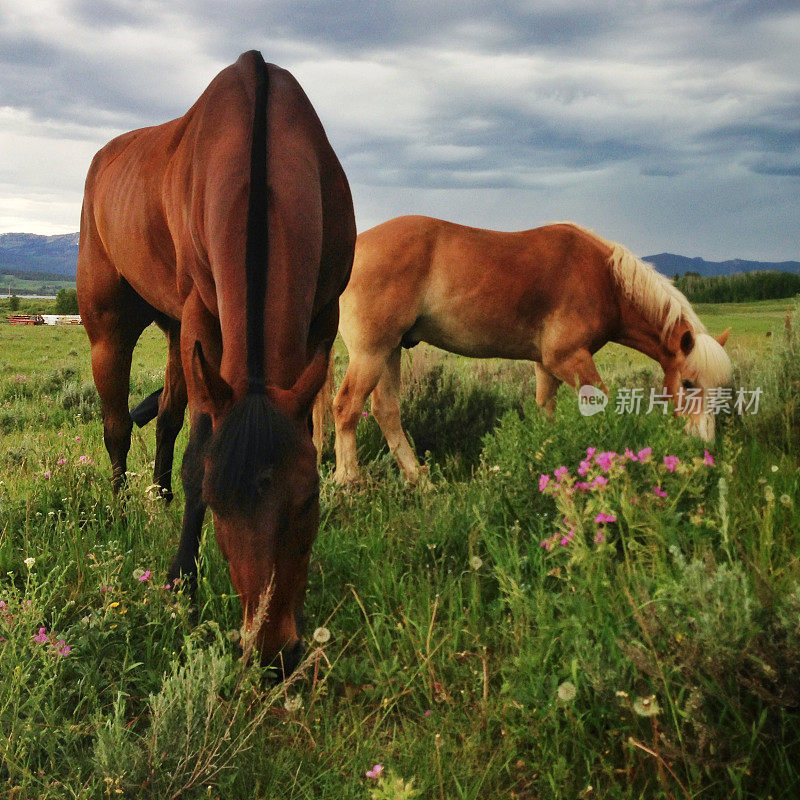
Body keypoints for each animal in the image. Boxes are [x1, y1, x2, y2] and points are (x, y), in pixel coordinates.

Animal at [77, 51, 356, 676]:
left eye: (309, 500)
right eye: (219, 504)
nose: (272, 652)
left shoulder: (322, 320)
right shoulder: (201, 315)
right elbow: (197, 452)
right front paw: (183, 582)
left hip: (175, 331)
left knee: (167, 418)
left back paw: (157, 499)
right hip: (112, 329)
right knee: (116, 426)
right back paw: (121, 510)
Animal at [320, 212, 732, 484]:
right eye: (689, 384)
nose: (706, 447)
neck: (604, 279)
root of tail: (356, 246)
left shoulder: (546, 365)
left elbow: (545, 412)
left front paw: (544, 459)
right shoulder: (568, 359)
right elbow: (601, 405)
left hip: (389, 350)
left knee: (385, 410)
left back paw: (419, 480)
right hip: (371, 352)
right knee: (346, 407)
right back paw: (349, 482)